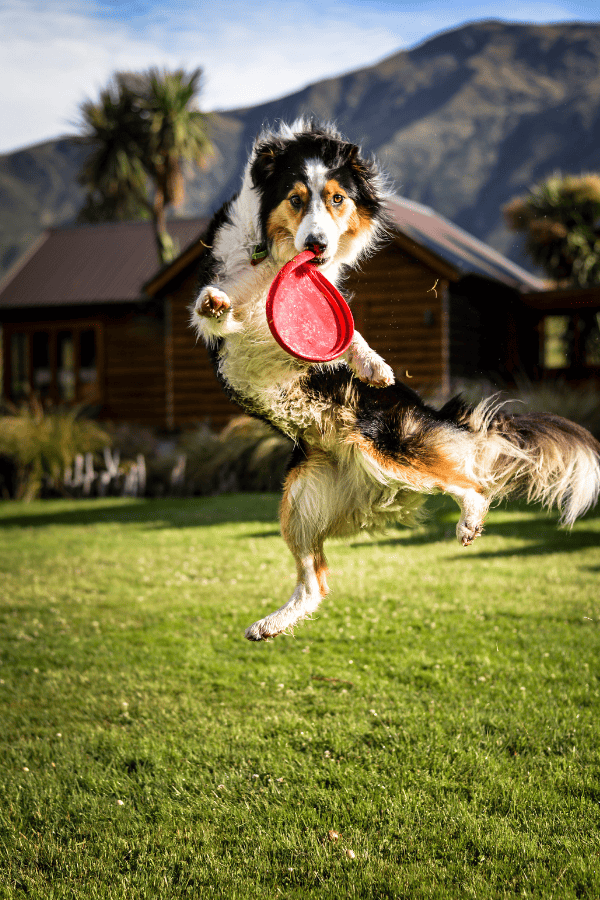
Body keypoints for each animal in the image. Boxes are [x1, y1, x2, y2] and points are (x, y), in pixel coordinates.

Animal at [191, 119, 600, 640]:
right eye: (296, 199)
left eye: (337, 199)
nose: (317, 246)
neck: (275, 255)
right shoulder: (231, 300)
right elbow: (220, 311)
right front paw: (216, 304)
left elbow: (346, 335)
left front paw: (371, 364)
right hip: (301, 498)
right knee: (315, 584)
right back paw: (271, 624)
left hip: (385, 449)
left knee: (473, 485)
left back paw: (468, 521)